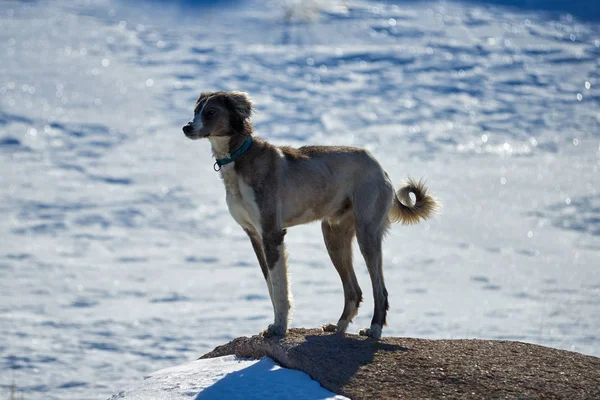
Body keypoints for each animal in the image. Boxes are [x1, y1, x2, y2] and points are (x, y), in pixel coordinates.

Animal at [180, 90, 438, 338]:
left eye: (211, 112)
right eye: (195, 110)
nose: (186, 127)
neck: (241, 158)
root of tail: (379, 166)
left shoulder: (272, 234)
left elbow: (280, 289)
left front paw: (279, 328)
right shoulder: (255, 236)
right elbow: (271, 287)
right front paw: (276, 324)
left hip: (367, 233)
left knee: (379, 289)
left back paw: (374, 329)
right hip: (334, 235)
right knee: (354, 290)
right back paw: (339, 326)